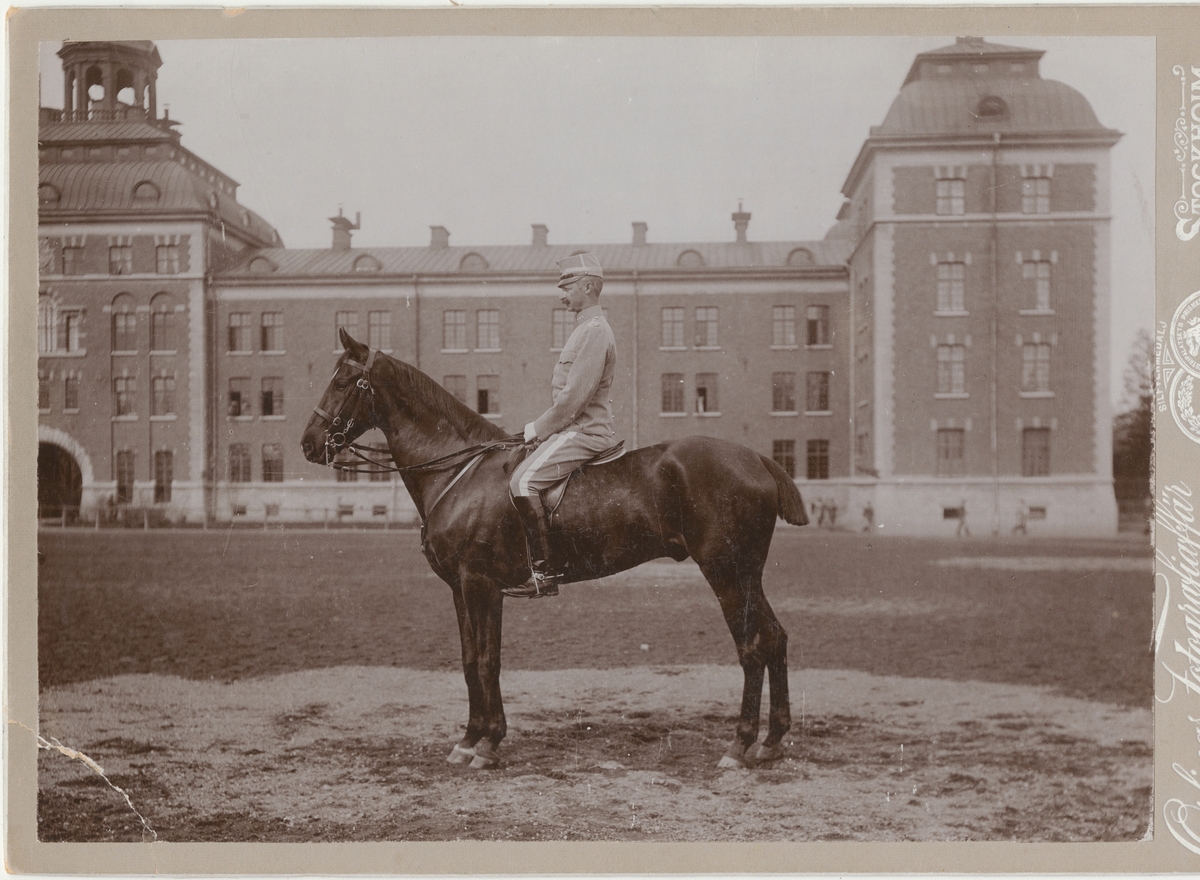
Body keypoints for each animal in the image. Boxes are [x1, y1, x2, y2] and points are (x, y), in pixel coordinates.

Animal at [300, 328, 811, 768]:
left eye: (343, 381)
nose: (308, 444)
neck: (459, 472)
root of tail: (757, 457)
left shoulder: (481, 584)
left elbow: (487, 661)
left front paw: (489, 743)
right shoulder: (459, 588)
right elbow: (469, 661)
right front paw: (467, 740)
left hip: (726, 573)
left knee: (752, 648)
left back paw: (739, 746)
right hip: (747, 574)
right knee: (775, 639)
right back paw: (772, 741)